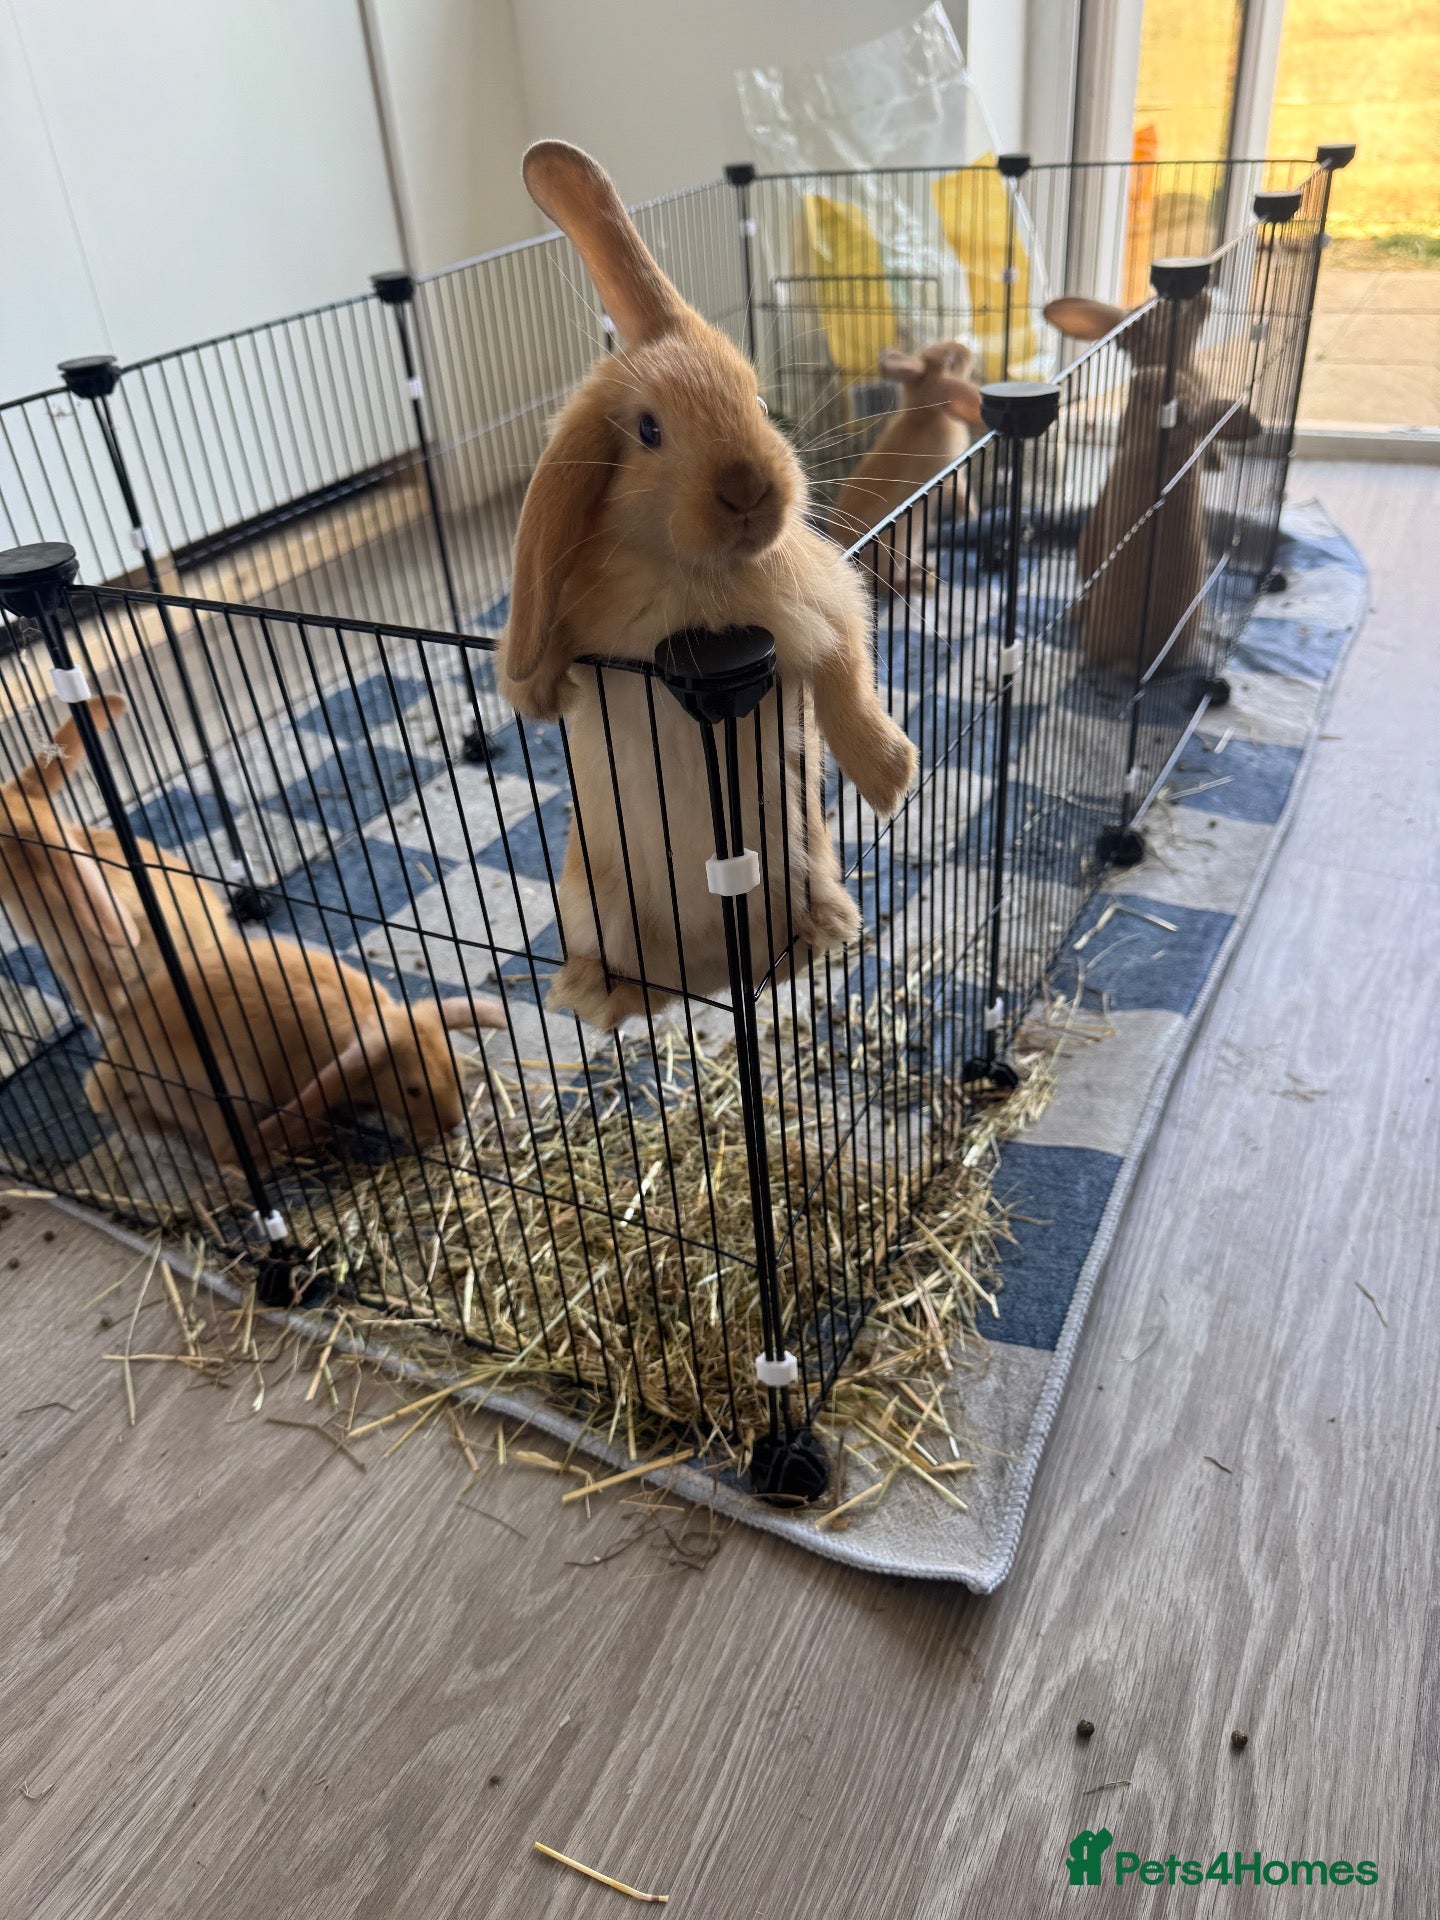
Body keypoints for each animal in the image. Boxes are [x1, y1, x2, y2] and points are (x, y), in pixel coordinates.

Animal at [84, 931, 507, 1173]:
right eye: (413, 1090)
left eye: (456, 1071)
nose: (451, 1125)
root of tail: (124, 1062)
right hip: (232, 1089)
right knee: (222, 1152)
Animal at [498, 141, 917, 1032]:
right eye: (650, 430)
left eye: (756, 397)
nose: (749, 488)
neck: (689, 578)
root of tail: (712, 976)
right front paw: (539, 694)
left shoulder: (822, 614)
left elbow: (848, 686)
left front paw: (892, 782)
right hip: (594, 905)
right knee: (622, 976)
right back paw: (591, 994)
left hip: (803, 854)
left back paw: (826, 929)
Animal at [827, 341, 986, 576]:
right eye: (951, 360)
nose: (966, 350)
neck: (926, 415)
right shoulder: (953, 479)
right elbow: (964, 497)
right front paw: (973, 517)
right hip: (899, 544)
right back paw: (925, 577)